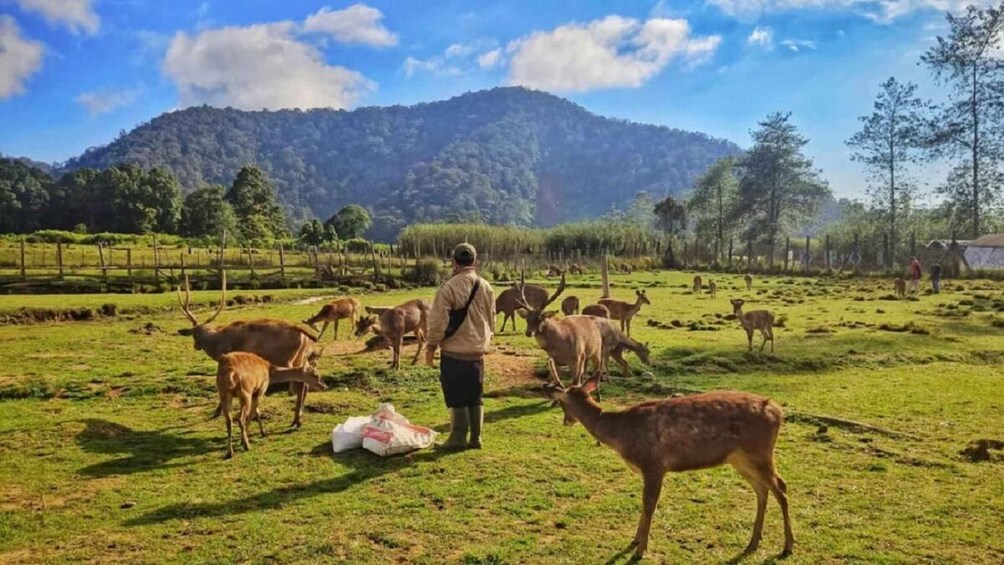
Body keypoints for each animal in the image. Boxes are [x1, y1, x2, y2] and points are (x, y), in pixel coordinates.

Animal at [175, 272, 317, 429]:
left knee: (300, 383)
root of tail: (305, 333)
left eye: (194, 334)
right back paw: (298, 419)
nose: (196, 346)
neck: (216, 344)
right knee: (305, 383)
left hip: (287, 360)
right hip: (301, 358)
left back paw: (297, 420)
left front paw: (217, 412)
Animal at [546, 377, 795, 557]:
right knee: (763, 490)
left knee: (781, 488)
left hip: (759, 452)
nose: (566, 421)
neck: (620, 434)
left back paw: (788, 545)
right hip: (741, 459)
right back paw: (753, 542)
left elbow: (649, 504)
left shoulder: (653, 463)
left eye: (561, 403)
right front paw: (635, 540)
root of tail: (778, 412)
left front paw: (639, 549)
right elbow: (645, 504)